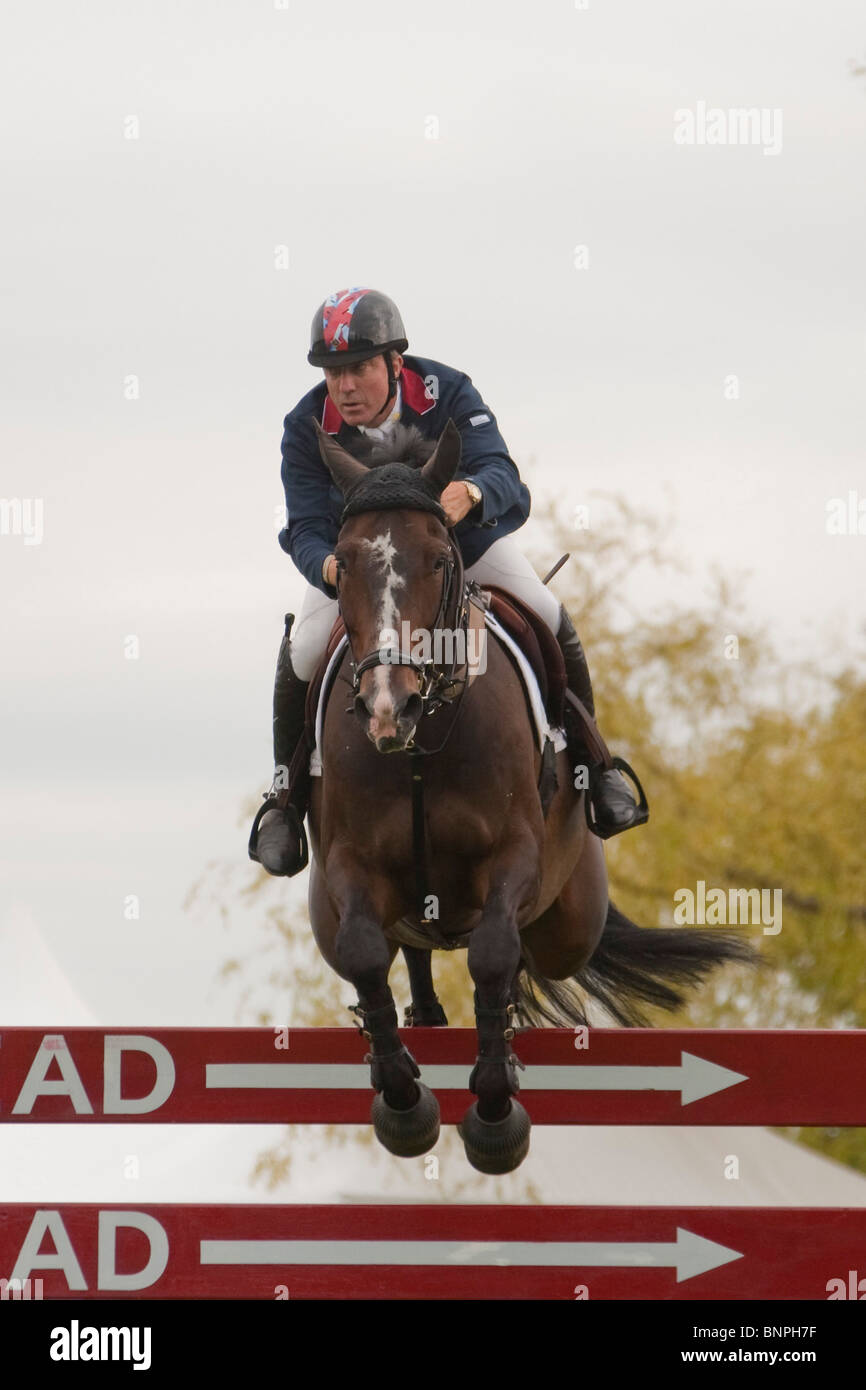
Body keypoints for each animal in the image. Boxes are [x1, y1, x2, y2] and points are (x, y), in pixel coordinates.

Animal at [307, 414, 756, 1173]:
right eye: (343, 560)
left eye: (438, 558)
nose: (386, 707)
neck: (423, 741)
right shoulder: (350, 865)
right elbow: (366, 955)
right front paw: (404, 1103)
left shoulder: (515, 854)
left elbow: (493, 954)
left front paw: (494, 1115)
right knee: (403, 951)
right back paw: (423, 1016)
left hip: (572, 920)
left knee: (522, 953)